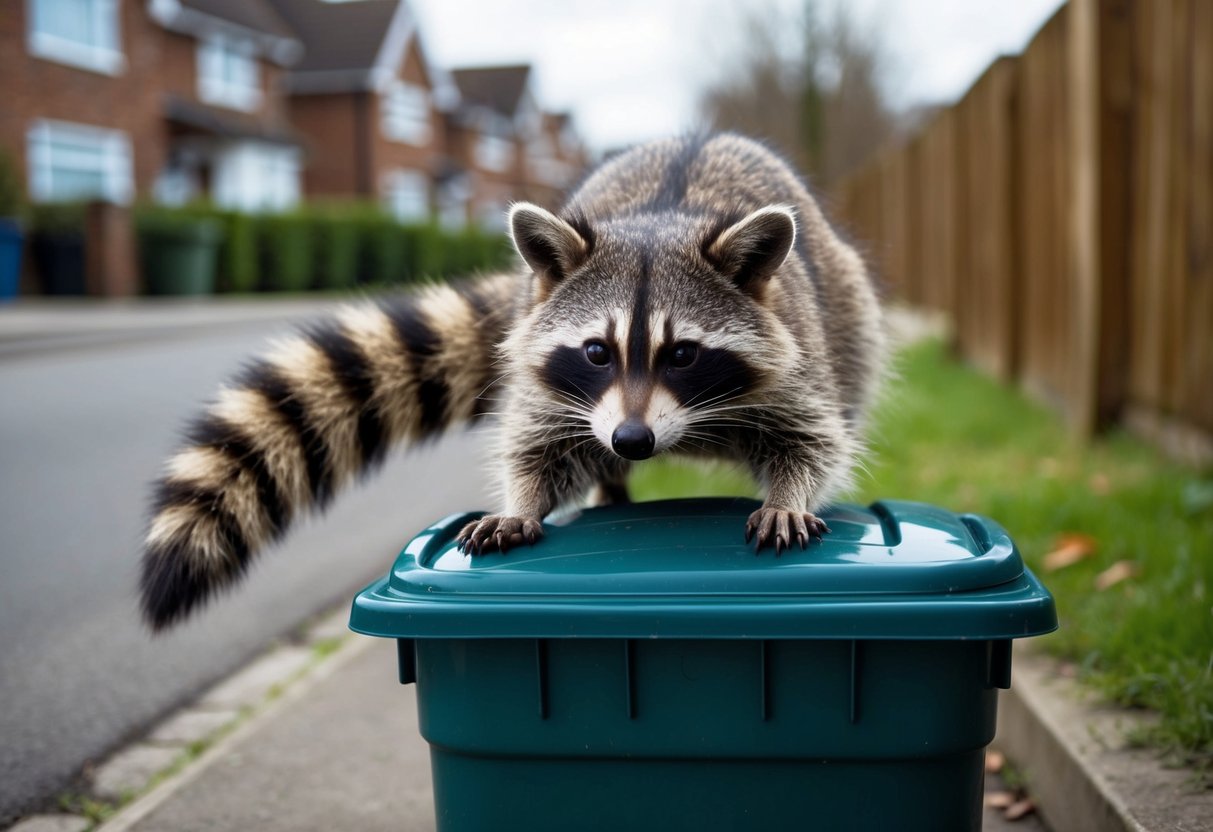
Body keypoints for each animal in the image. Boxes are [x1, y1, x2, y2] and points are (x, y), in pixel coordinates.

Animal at [140, 133, 885, 630]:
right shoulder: (558, 389)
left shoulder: (796, 358)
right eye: (596, 352)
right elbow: (538, 447)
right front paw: (525, 501)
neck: (656, 226)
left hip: (847, 313)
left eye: (682, 355)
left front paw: (791, 494)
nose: (633, 440)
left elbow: (812, 439)